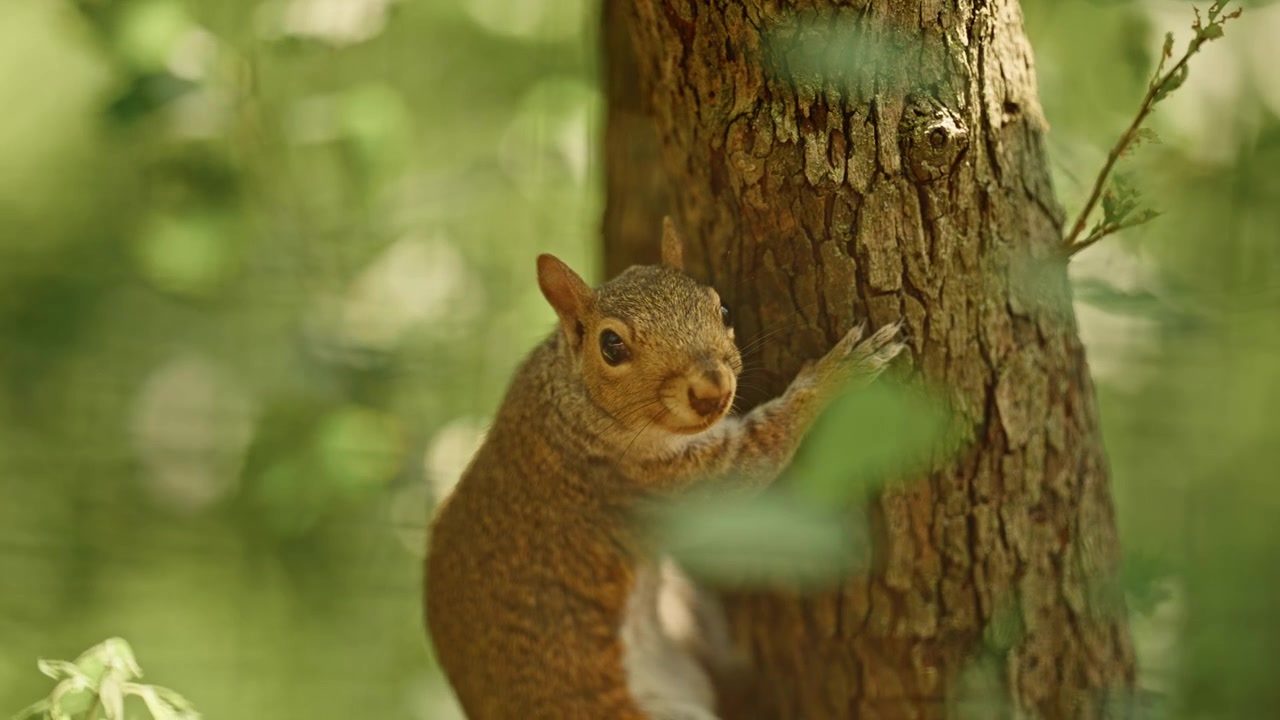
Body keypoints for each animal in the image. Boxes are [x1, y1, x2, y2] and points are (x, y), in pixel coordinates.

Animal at [424, 219, 906, 720]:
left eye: (723, 308)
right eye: (611, 345)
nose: (711, 390)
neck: (575, 398)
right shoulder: (647, 481)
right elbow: (749, 462)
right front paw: (838, 375)